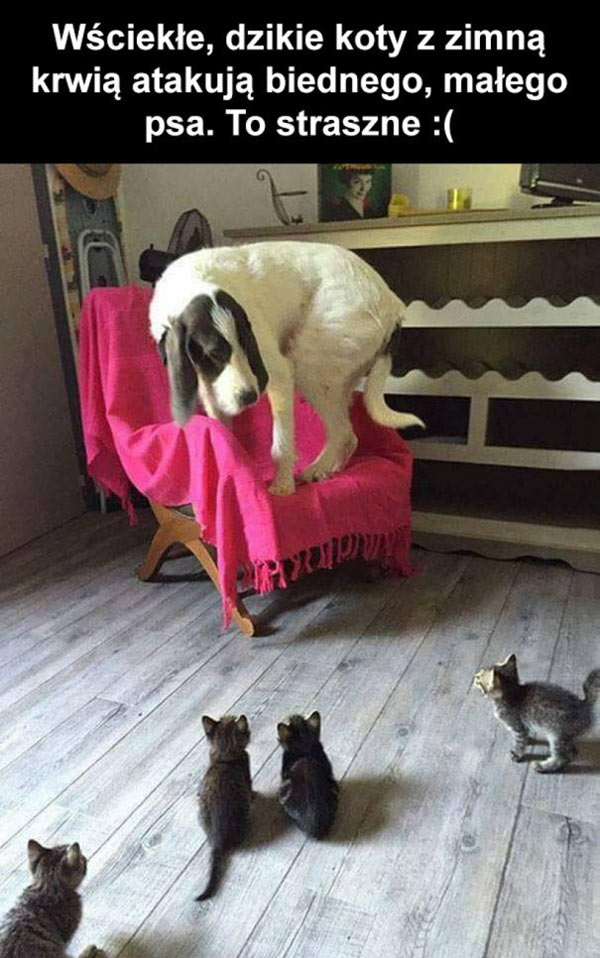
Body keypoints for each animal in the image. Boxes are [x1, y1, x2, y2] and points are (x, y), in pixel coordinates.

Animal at [149, 241, 424, 495]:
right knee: (349, 436)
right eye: (213, 354)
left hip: (309, 367)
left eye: (247, 345)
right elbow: (224, 434)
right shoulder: (210, 388)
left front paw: (282, 486)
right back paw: (330, 469)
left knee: (342, 431)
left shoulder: (278, 374)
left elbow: (280, 445)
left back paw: (316, 469)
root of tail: (393, 307)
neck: (196, 282)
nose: (249, 397)